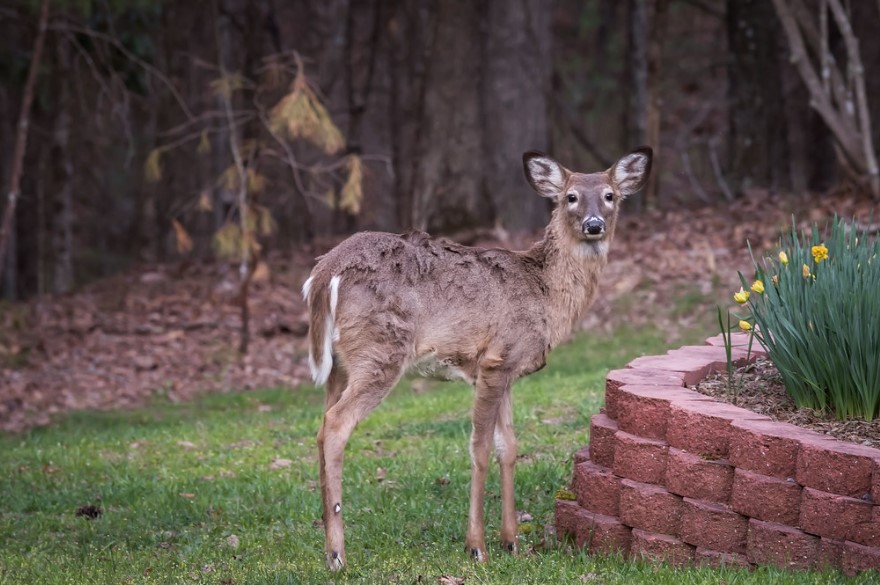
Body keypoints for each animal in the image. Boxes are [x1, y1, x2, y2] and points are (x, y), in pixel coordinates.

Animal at [302, 147, 652, 570]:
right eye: (570, 197)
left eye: (609, 195)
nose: (594, 224)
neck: (545, 293)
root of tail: (325, 272)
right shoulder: (495, 360)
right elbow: (480, 448)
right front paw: (477, 546)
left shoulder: (509, 370)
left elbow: (510, 447)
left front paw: (512, 542)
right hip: (380, 350)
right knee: (337, 424)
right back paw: (338, 553)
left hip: (338, 365)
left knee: (321, 426)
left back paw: (326, 541)